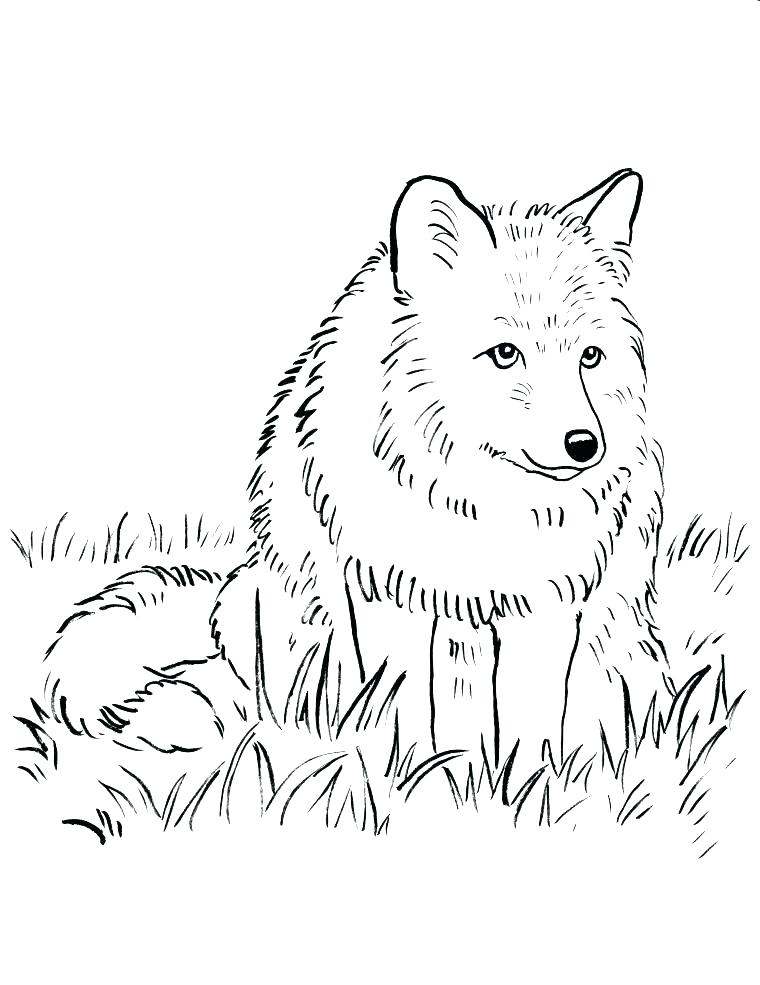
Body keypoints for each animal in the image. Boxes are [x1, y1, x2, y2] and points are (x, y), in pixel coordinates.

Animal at [36, 169, 670, 809]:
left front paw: (529, 791)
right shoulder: (387, 595)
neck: (477, 506)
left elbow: (534, 722)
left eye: (590, 357)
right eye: (504, 355)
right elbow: (405, 713)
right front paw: (409, 786)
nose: (585, 446)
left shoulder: (547, 606)